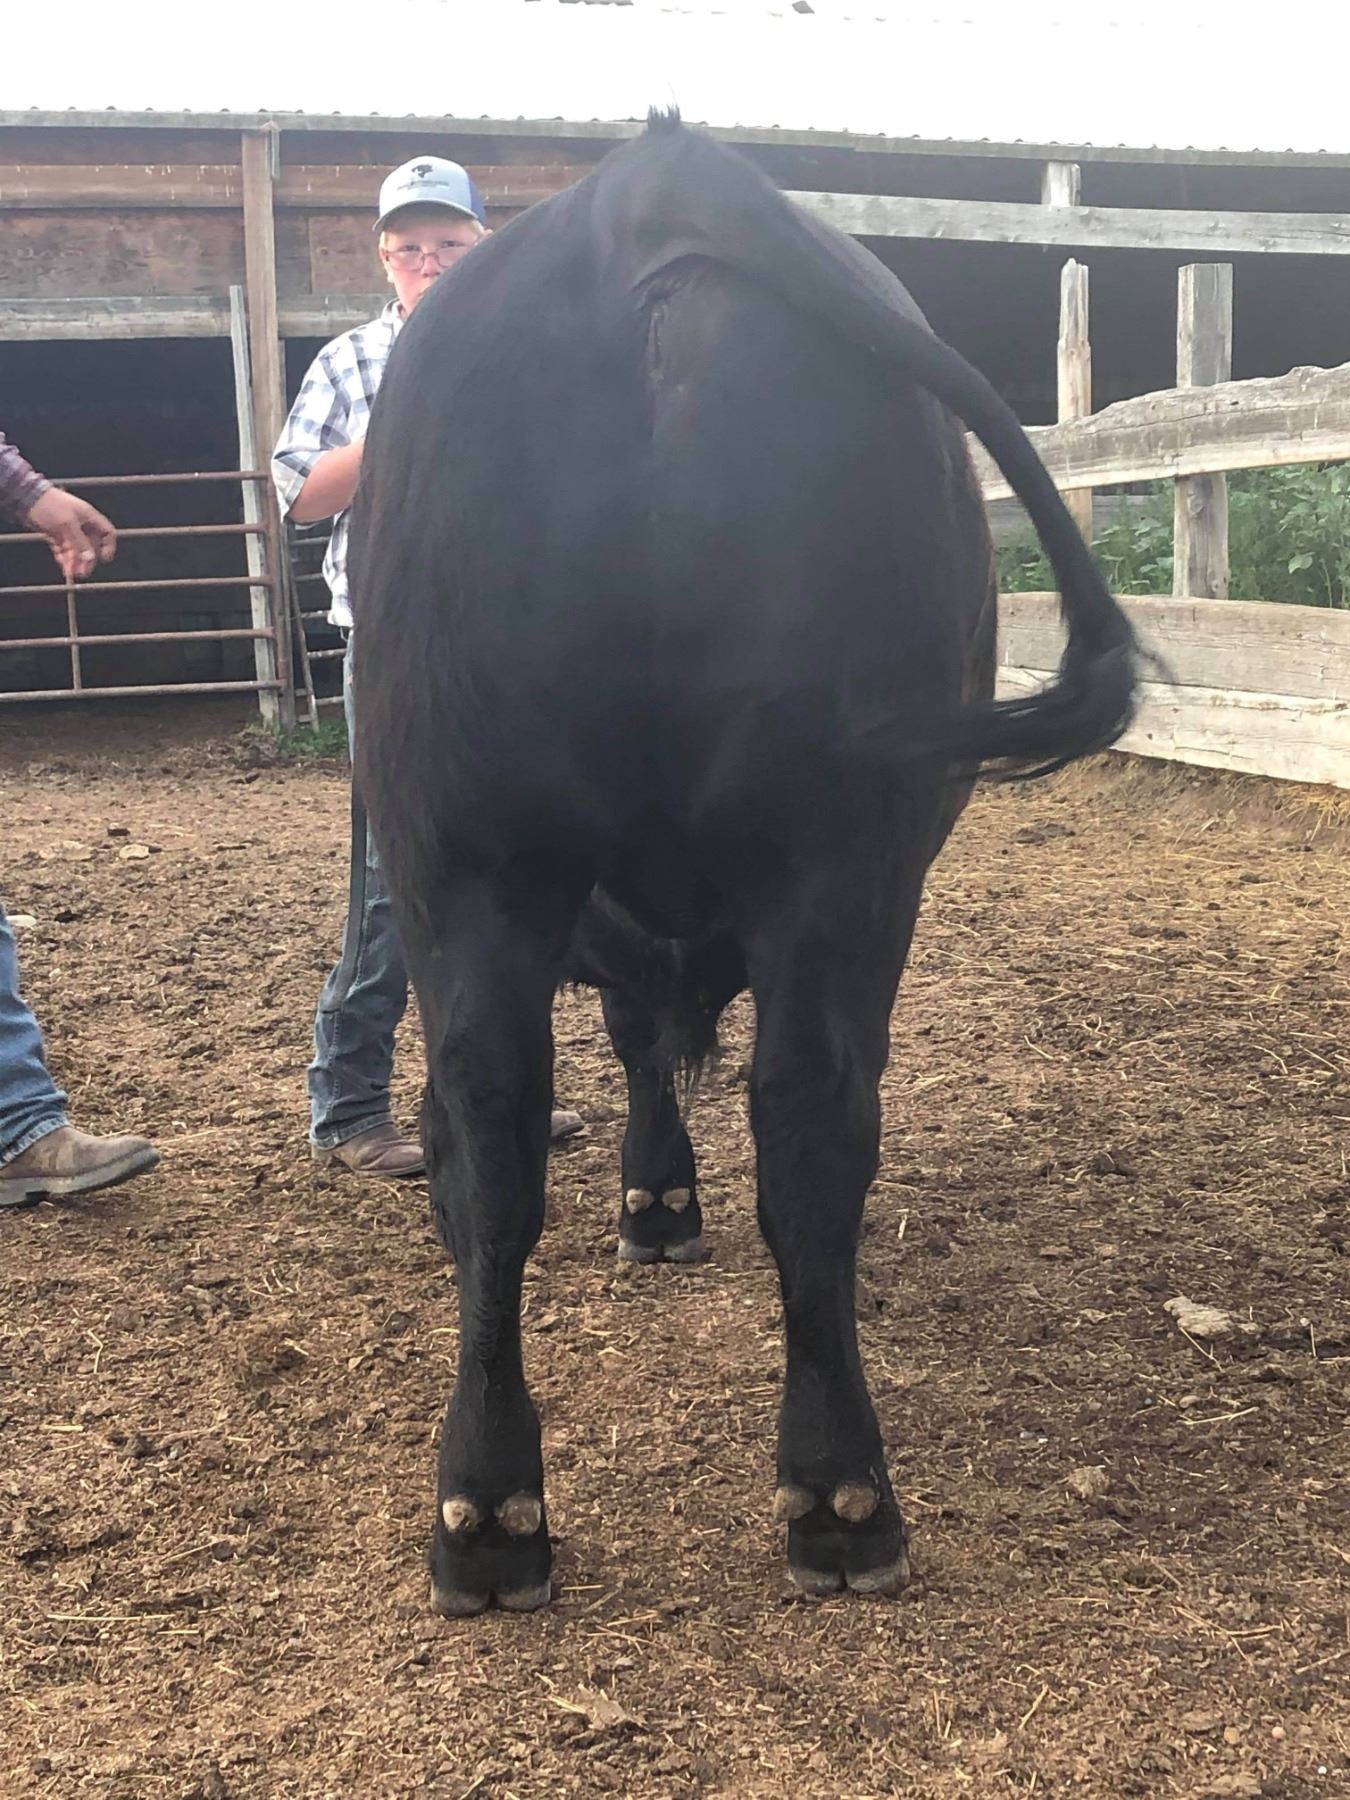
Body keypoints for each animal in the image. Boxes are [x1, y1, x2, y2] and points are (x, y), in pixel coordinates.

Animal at [349, 112, 1137, 1617]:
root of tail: (657, 188)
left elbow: (635, 1050)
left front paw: (653, 1199)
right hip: (810, 848)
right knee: (785, 1117)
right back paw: (803, 1494)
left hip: (490, 851)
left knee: (505, 1124)